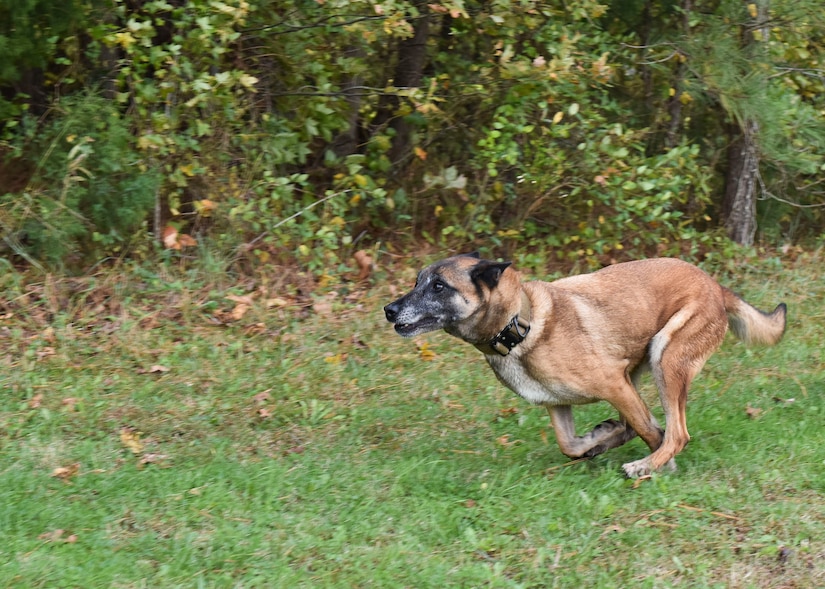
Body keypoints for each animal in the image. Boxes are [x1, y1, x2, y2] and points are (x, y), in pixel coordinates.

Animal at [386, 254, 784, 478]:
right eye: (417, 281)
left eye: (439, 286)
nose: (389, 310)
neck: (521, 322)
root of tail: (717, 286)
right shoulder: (559, 403)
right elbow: (570, 445)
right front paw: (596, 441)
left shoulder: (613, 383)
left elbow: (651, 430)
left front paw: (659, 465)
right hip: (641, 369)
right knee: (645, 423)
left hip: (665, 360)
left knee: (677, 432)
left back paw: (646, 463)